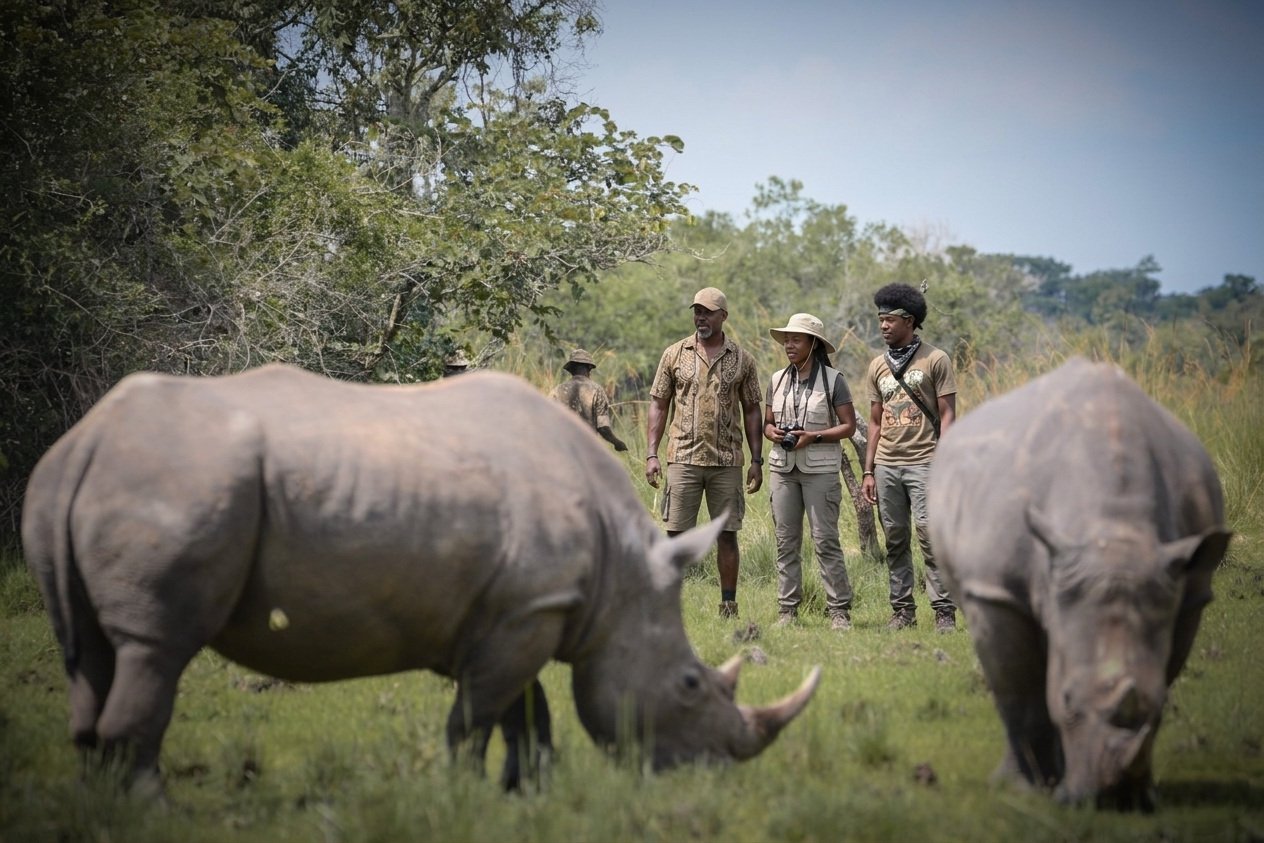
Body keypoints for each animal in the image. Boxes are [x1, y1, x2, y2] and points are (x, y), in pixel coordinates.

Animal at [22, 364, 819, 791]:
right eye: (689, 686)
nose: (712, 772)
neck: (621, 580)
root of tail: (84, 442)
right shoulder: (528, 611)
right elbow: (473, 719)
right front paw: (467, 795)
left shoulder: (523, 608)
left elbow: (526, 713)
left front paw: (526, 794)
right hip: (181, 482)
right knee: (155, 647)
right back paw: (149, 806)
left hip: (88, 485)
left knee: (92, 654)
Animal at [927, 358, 1230, 810]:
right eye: (1068, 699)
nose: (1111, 800)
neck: (1113, 531)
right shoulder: (997, 592)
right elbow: (1020, 691)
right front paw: (1024, 788)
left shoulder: (1187, 591)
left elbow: (1160, 673)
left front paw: (1144, 794)